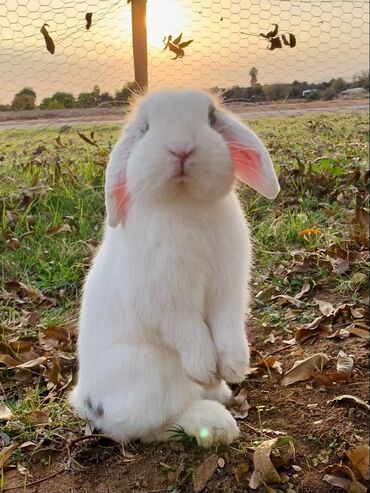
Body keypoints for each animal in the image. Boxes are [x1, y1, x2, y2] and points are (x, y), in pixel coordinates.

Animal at [68, 88, 278, 446]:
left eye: (210, 118)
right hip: (152, 375)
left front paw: (233, 367)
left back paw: (220, 391)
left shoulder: (229, 289)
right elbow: (188, 331)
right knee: (150, 427)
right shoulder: (166, 302)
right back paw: (215, 422)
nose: (182, 146)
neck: (184, 201)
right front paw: (207, 367)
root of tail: (86, 401)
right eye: (146, 127)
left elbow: (227, 325)